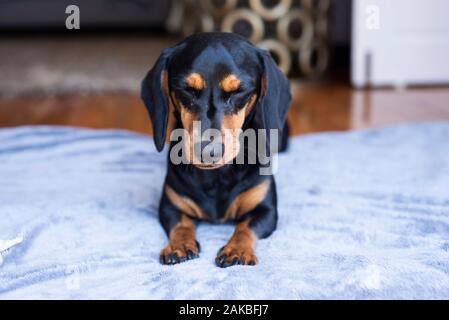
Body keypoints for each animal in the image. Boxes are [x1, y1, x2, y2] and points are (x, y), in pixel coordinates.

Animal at [142, 32, 292, 268]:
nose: (208, 152)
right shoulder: (170, 206)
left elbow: (245, 227)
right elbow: (181, 224)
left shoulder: (266, 210)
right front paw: (179, 245)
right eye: (187, 90)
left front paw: (237, 249)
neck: (217, 177)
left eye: (239, 91)